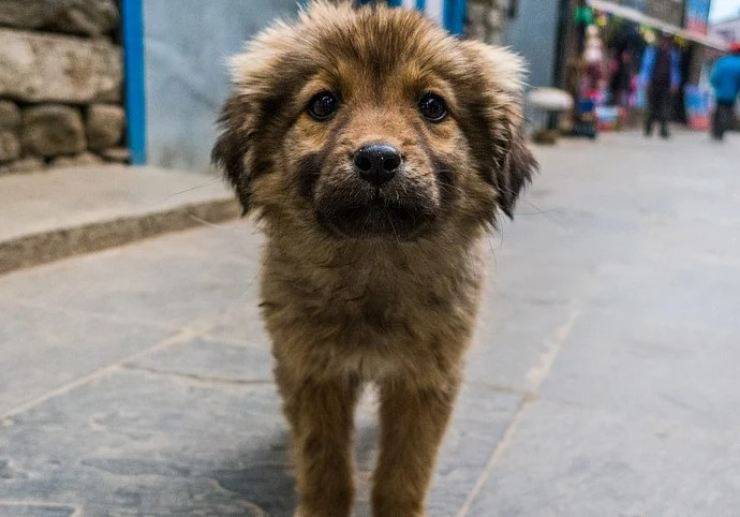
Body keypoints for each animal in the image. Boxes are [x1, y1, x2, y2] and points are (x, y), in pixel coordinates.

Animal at [211, 2, 536, 512]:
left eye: (433, 106)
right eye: (323, 103)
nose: (379, 159)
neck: (373, 265)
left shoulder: (426, 379)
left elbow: (404, 472)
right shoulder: (312, 369)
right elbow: (324, 465)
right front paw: (319, 507)